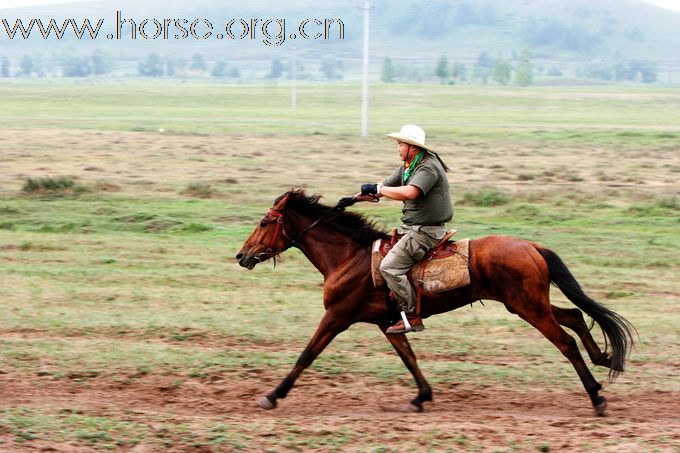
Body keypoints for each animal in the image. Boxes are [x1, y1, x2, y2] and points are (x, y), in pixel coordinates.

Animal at [236, 189, 636, 414]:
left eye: (264, 222)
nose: (242, 256)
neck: (349, 257)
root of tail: (532, 246)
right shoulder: (388, 323)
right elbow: (409, 358)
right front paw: (422, 396)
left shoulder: (337, 316)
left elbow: (306, 354)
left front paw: (273, 395)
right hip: (529, 303)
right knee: (575, 315)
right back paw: (602, 360)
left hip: (528, 307)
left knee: (565, 341)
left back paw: (596, 396)